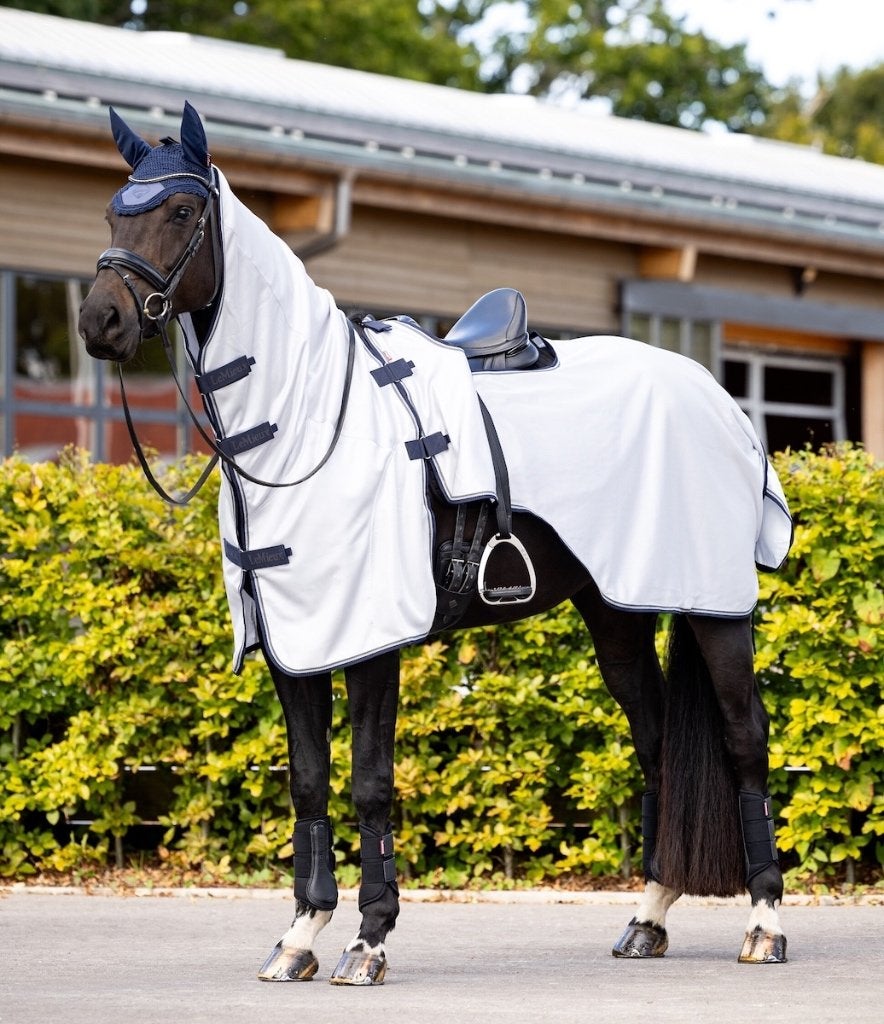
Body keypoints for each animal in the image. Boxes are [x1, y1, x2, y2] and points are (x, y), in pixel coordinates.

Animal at [78, 103, 793, 984]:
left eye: (180, 211)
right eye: (114, 210)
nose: (100, 321)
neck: (309, 417)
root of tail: (719, 400)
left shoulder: (370, 640)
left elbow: (369, 782)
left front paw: (368, 941)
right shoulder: (294, 645)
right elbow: (308, 783)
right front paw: (299, 937)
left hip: (714, 609)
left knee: (744, 741)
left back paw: (763, 925)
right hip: (618, 612)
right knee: (657, 743)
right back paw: (647, 919)